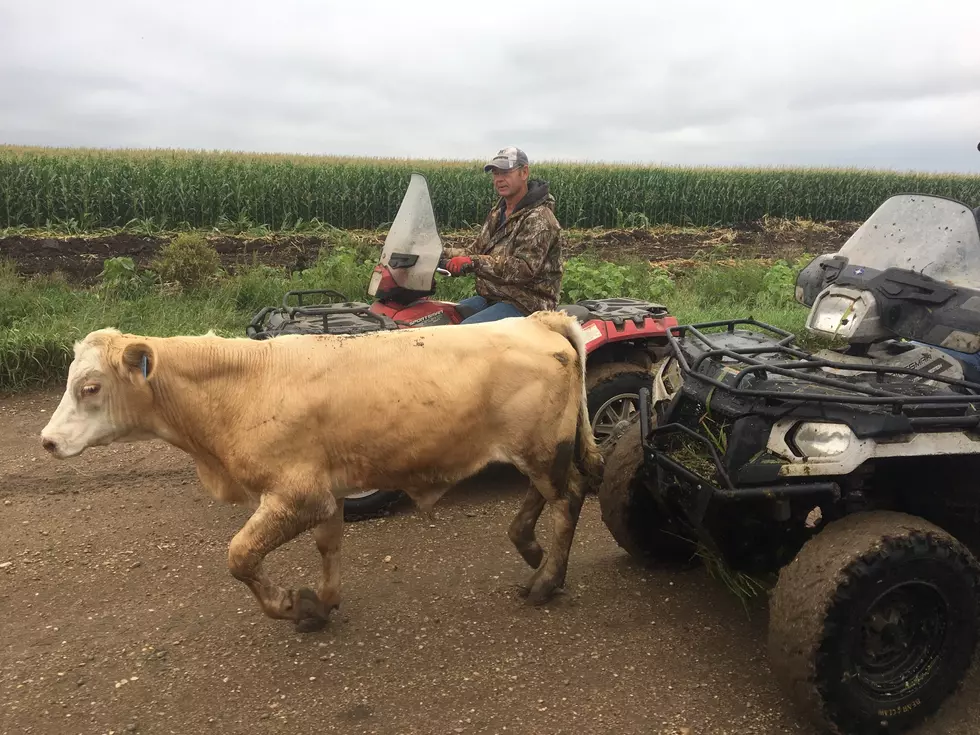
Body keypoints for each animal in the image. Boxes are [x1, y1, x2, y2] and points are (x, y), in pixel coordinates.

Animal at [40, 310, 604, 632]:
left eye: (90, 386)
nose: (46, 440)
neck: (243, 385)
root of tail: (537, 320)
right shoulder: (327, 494)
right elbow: (329, 547)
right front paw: (323, 603)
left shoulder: (298, 495)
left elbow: (240, 556)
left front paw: (292, 605)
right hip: (536, 451)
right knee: (547, 494)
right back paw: (528, 547)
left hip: (541, 448)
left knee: (568, 497)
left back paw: (546, 579)